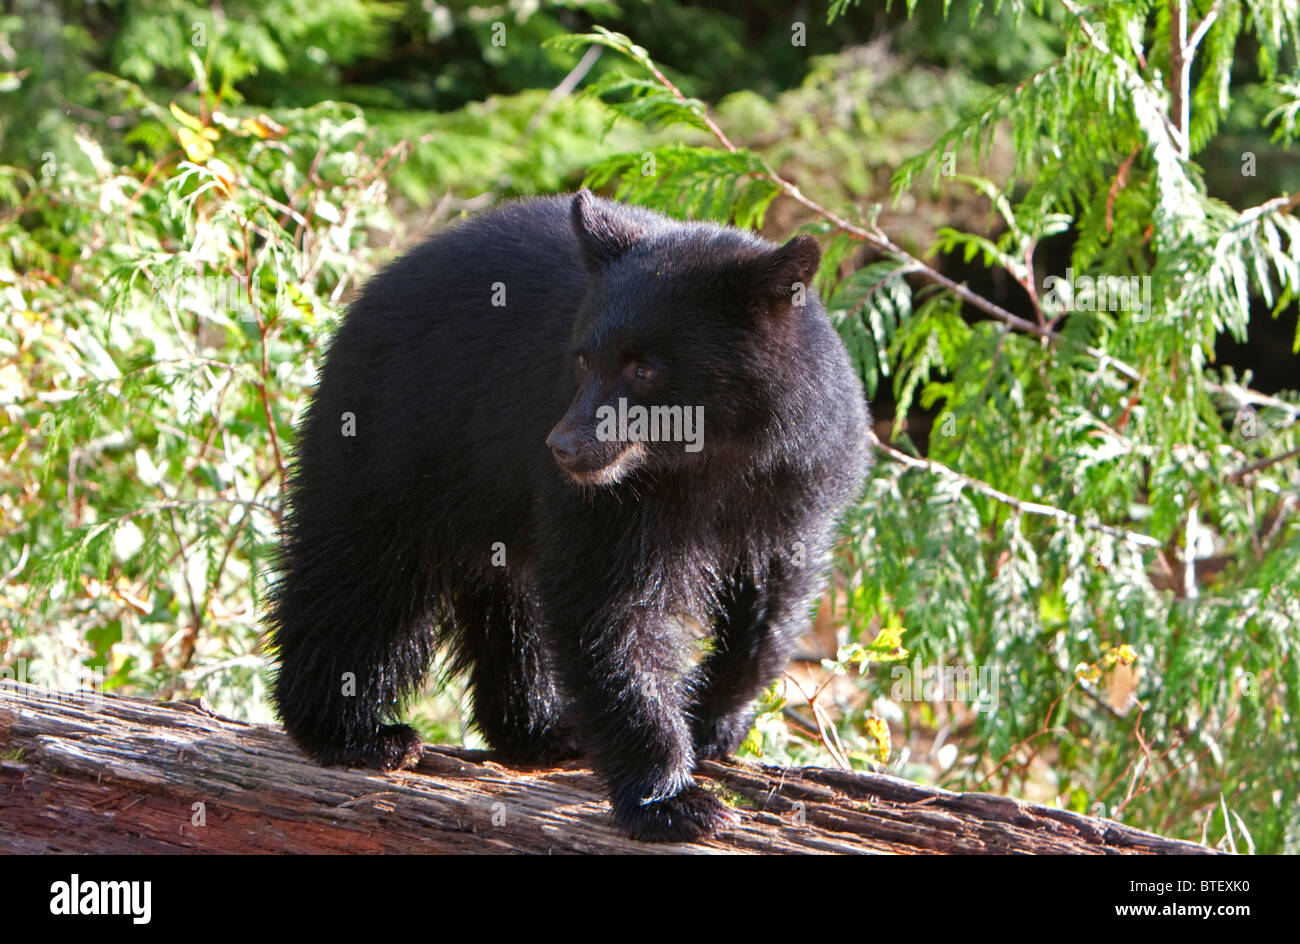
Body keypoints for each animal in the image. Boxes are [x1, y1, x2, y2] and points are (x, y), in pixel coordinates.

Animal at [266, 192, 873, 842]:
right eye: (583, 359)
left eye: (643, 368)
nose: (563, 447)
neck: (712, 454)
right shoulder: (610, 501)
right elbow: (608, 607)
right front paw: (672, 800)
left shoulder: (797, 483)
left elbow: (772, 606)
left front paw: (711, 720)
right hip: (395, 435)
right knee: (360, 576)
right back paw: (355, 733)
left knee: (512, 607)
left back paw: (540, 729)